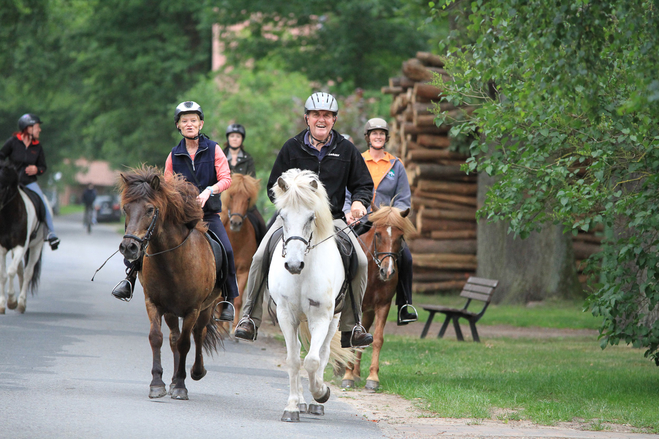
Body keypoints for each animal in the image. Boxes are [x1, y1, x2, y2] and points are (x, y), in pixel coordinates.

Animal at [0, 161, 46, 312]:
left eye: (3, 186)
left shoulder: (20, 246)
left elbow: (11, 271)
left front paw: (11, 301)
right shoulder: (1, 248)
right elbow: (3, 275)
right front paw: (2, 304)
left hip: (36, 246)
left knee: (27, 273)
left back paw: (21, 302)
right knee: (21, 270)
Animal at [121, 168, 227, 402]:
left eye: (150, 209)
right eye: (125, 208)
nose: (128, 247)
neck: (172, 260)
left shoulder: (192, 309)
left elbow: (186, 342)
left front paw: (180, 385)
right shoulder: (153, 303)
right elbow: (156, 338)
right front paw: (158, 383)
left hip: (206, 308)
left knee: (198, 334)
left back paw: (196, 372)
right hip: (171, 311)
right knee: (173, 338)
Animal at [222, 174, 262, 328]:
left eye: (248, 199)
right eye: (231, 196)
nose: (235, 222)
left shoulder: (244, 271)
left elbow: (238, 300)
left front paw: (233, 328)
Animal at [270, 168, 348, 422]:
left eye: (311, 218)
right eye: (283, 216)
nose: (294, 265)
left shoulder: (321, 317)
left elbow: (313, 360)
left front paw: (321, 393)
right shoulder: (286, 316)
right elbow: (294, 360)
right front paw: (292, 407)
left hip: (334, 319)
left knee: (322, 353)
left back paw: (315, 402)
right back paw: (303, 401)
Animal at [342, 206, 416, 392]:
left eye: (400, 236)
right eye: (378, 234)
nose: (387, 271)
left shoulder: (383, 305)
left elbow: (376, 339)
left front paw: (372, 378)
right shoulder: (354, 306)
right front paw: (347, 376)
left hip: (368, 312)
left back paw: (356, 373)